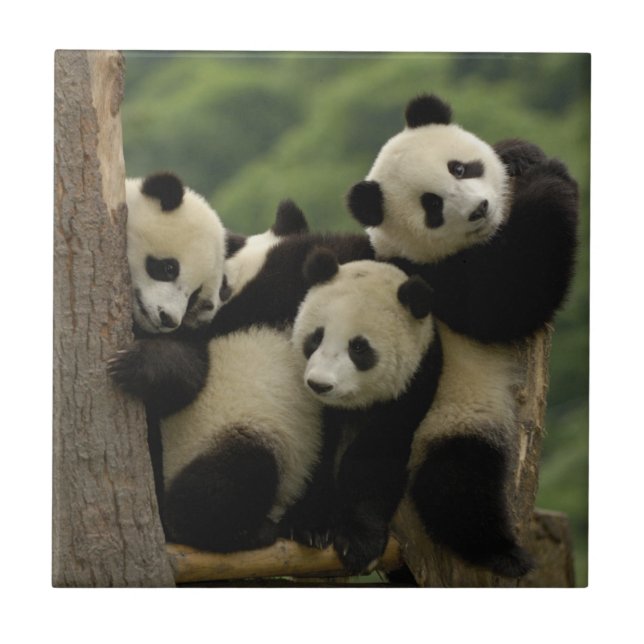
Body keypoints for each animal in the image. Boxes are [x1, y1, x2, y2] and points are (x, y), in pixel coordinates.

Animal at [280, 248, 443, 574]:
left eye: (358, 348)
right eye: (316, 337)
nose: (320, 384)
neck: (350, 406)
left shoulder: (413, 387)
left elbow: (376, 459)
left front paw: (358, 542)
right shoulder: (319, 410)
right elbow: (317, 450)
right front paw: (309, 525)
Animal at [346, 94, 578, 577]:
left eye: (459, 168)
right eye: (432, 205)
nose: (479, 209)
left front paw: (520, 154)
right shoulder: (433, 281)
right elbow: (508, 299)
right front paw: (551, 177)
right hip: (447, 417)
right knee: (457, 482)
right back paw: (501, 553)